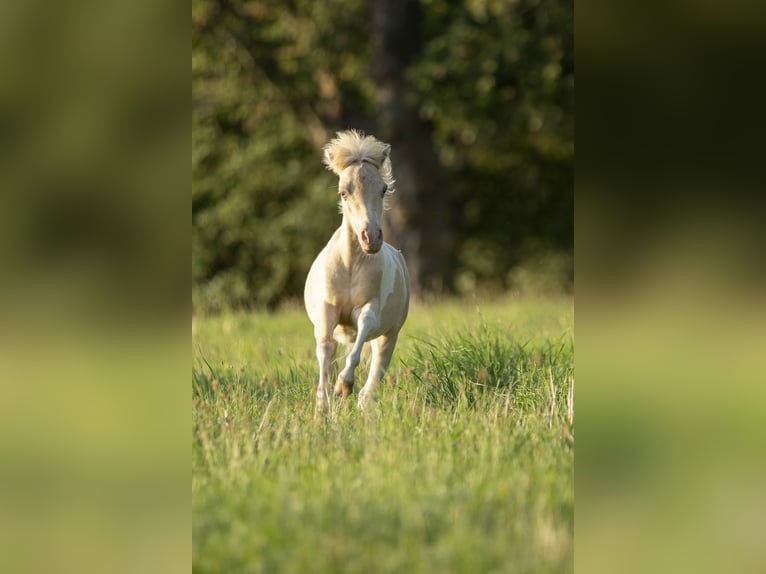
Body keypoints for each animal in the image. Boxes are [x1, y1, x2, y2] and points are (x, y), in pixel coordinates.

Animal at [304, 131, 412, 412]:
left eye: (383, 189)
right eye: (343, 192)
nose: (371, 238)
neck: (351, 266)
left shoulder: (370, 310)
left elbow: (361, 336)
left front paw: (344, 386)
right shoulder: (326, 311)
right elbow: (325, 350)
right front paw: (323, 405)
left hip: (389, 335)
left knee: (377, 369)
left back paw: (363, 404)